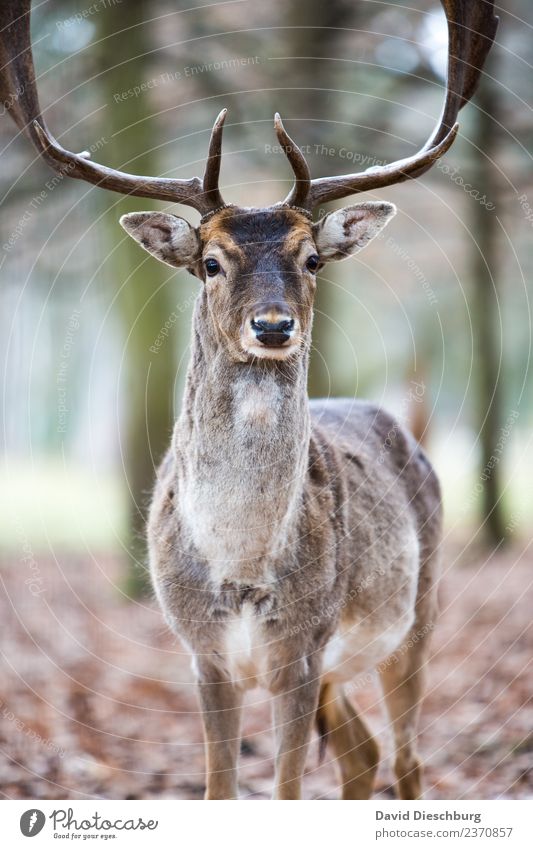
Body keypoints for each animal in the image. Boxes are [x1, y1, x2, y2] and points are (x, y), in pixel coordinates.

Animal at [2, 0, 496, 800]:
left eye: (312, 258)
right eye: (210, 261)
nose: (272, 325)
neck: (239, 573)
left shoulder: (301, 647)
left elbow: (288, 789)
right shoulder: (202, 652)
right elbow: (217, 788)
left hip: (415, 613)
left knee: (406, 759)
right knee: (361, 755)